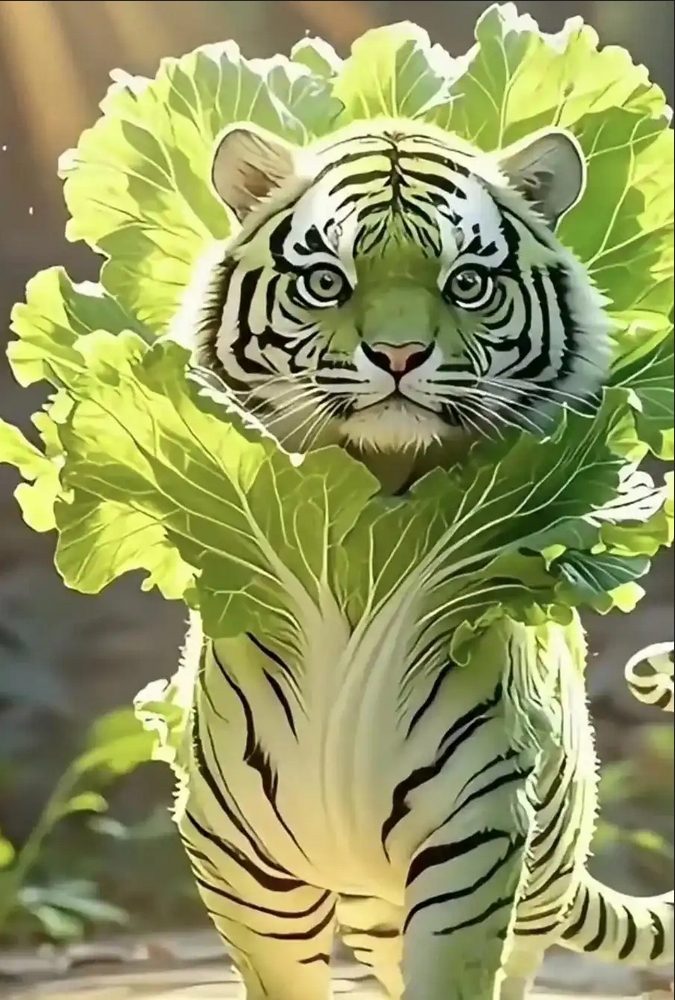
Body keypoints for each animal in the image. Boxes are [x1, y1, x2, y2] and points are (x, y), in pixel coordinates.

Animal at [165, 118, 674, 999]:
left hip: (535, 873)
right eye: (326, 281)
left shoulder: (473, 839)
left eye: (465, 282)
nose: (399, 355)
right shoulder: (242, 868)